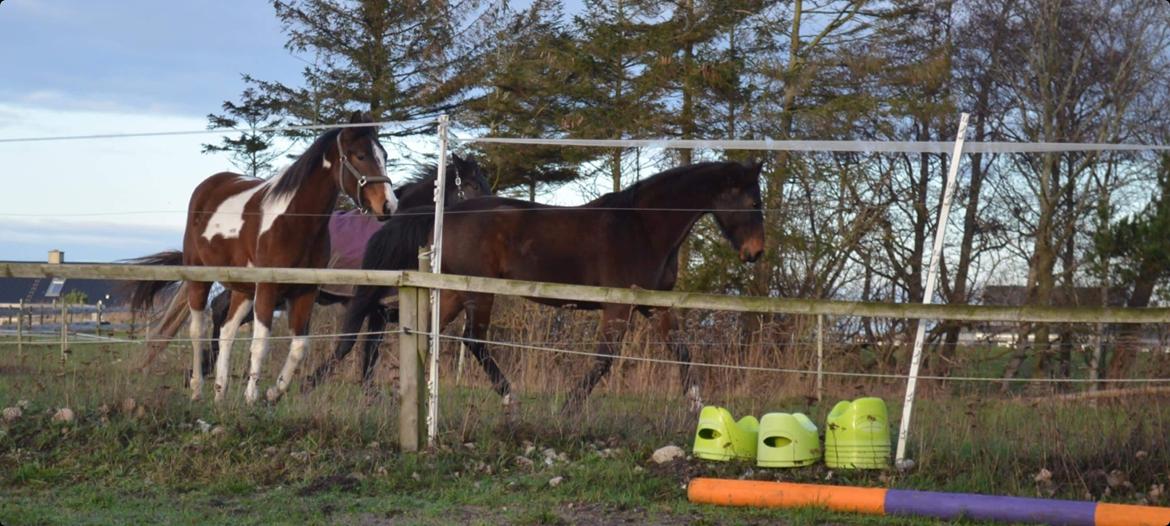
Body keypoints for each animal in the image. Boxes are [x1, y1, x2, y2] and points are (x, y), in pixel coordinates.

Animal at [131, 111, 397, 402]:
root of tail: (209, 185)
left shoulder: (305, 291)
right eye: (360, 155)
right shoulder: (268, 288)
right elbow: (260, 344)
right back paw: (198, 389)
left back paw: (220, 393)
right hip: (200, 278)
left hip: (243, 289)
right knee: (197, 331)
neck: (294, 221)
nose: (388, 205)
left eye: (384, 154)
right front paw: (251, 397)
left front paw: (272, 393)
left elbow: (299, 346)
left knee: (226, 331)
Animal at [318, 158, 767, 411]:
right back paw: (506, 396)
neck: (641, 226)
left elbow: (682, 351)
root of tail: (446, 215)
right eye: (750, 201)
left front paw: (698, 408)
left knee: (414, 326)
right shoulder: (618, 307)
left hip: (457, 294)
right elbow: (604, 361)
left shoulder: (655, 303)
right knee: (470, 340)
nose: (756, 252)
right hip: (476, 292)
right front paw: (569, 407)